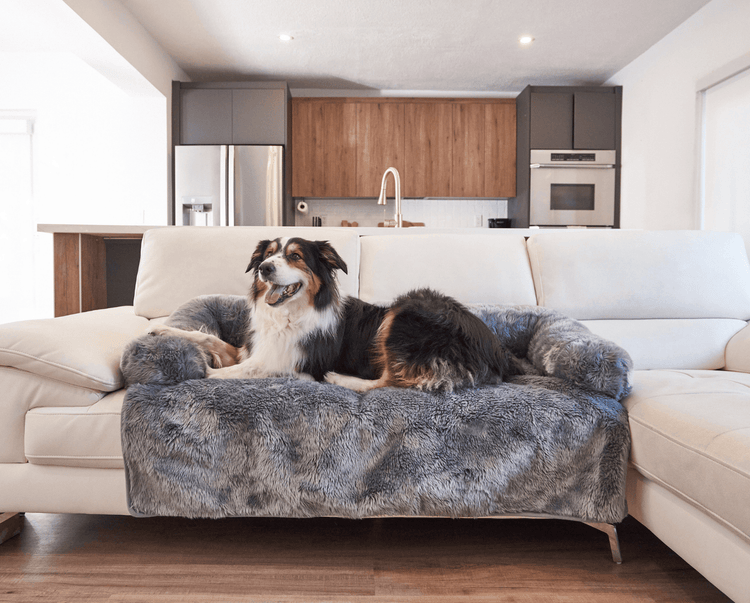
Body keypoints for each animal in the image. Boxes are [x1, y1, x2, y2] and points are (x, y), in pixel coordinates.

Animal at [147, 238, 512, 394]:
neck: (291, 313)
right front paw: (161, 334)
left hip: (404, 313)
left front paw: (202, 372)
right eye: (268, 254)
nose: (264, 268)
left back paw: (338, 379)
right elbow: (206, 336)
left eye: (295, 256)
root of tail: (495, 350)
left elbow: (231, 373)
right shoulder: (254, 348)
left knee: (391, 382)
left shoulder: (281, 362)